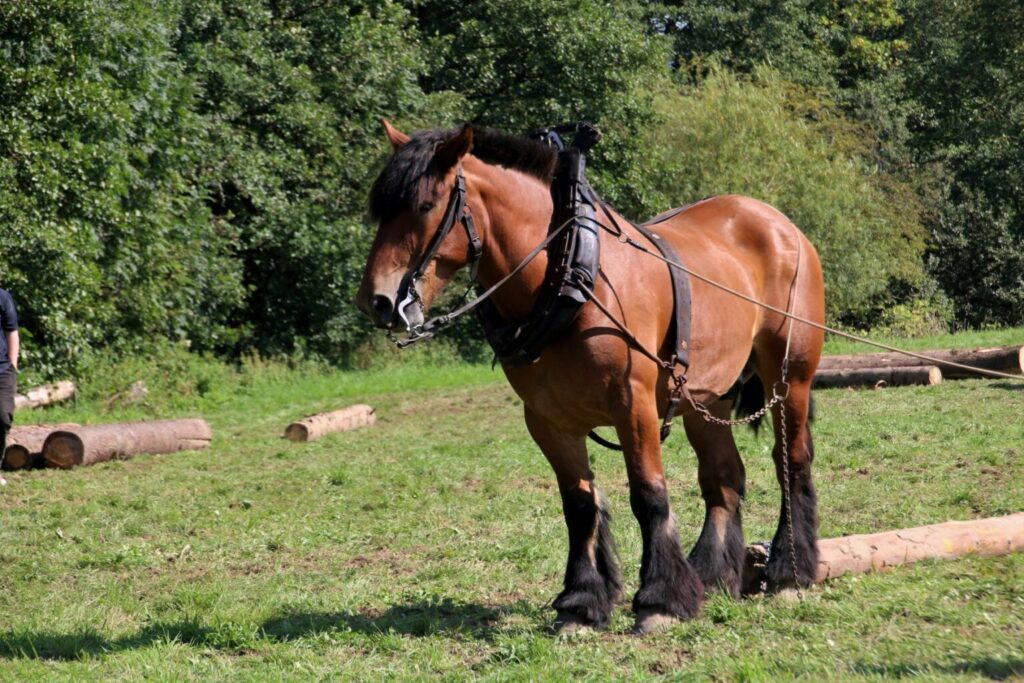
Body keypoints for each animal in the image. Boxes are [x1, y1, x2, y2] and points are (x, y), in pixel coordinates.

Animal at [356, 122, 827, 634]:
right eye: (382, 210)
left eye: (425, 205)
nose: (376, 301)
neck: (568, 277)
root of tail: (779, 222)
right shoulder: (548, 421)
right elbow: (580, 507)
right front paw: (581, 603)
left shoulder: (634, 406)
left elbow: (649, 496)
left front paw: (659, 601)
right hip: (708, 395)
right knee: (723, 477)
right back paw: (711, 576)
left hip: (790, 377)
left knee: (791, 460)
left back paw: (789, 572)